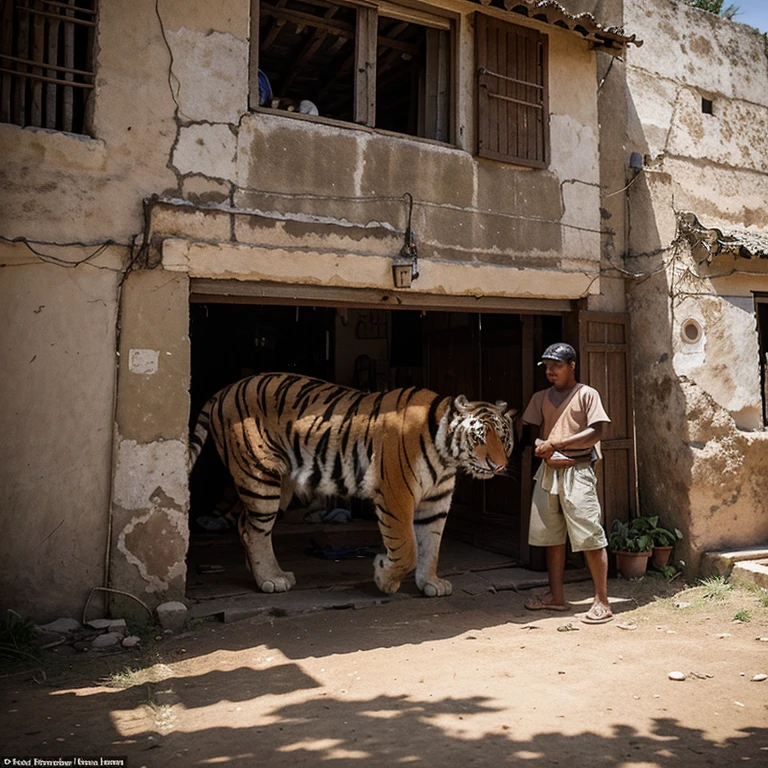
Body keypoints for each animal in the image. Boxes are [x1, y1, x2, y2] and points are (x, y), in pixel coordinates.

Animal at [190, 376, 516, 596]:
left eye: (503, 438)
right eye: (480, 436)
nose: (498, 466)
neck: (446, 456)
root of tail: (224, 391)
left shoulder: (435, 501)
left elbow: (431, 546)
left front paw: (431, 583)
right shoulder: (397, 493)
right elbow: (407, 548)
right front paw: (385, 578)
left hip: (279, 483)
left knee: (246, 524)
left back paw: (263, 573)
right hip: (261, 474)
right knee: (252, 529)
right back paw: (272, 580)